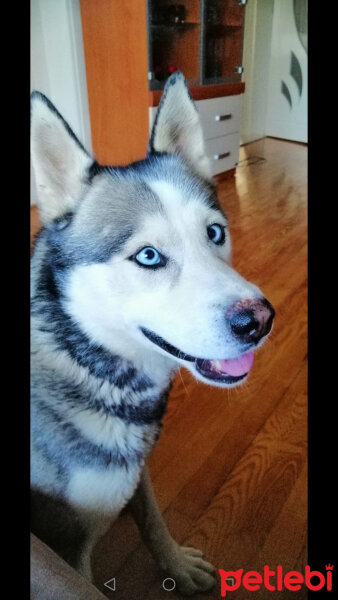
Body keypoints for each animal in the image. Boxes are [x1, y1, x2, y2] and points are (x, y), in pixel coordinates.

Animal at [30, 72, 274, 592]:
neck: (87, 362)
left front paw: (177, 566)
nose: (259, 321)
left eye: (215, 233)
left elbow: (153, 520)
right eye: (147, 256)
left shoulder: (135, 473)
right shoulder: (69, 549)